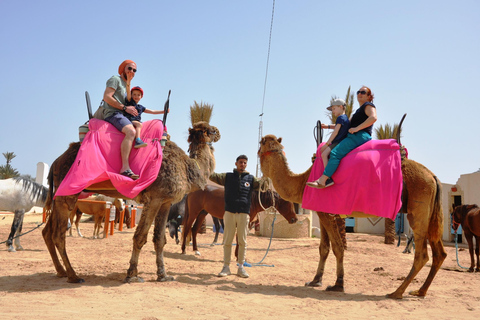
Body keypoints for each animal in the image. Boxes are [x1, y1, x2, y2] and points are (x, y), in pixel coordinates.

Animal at [42, 121, 219, 284]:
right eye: (210, 130)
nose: (218, 133)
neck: (189, 167)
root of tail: (56, 162)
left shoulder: (165, 201)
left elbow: (160, 239)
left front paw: (163, 276)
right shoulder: (154, 198)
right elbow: (140, 236)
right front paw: (132, 275)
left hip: (59, 196)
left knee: (47, 232)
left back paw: (61, 271)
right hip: (67, 195)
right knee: (58, 234)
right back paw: (73, 276)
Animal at [258, 126, 446, 298]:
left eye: (261, 145)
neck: (304, 182)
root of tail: (433, 176)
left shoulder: (326, 213)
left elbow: (338, 247)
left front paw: (338, 284)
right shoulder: (322, 211)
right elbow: (323, 248)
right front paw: (315, 280)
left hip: (418, 209)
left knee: (422, 254)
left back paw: (397, 292)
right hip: (430, 213)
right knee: (440, 253)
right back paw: (420, 291)